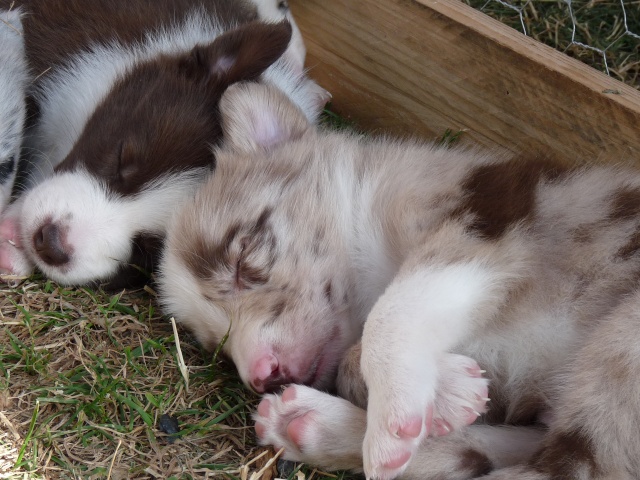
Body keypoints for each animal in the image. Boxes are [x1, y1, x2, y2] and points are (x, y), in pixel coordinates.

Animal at [160, 82, 640, 480]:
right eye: (216, 346)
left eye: (241, 259)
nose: (263, 376)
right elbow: (356, 353)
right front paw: (450, 390)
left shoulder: (483, 222)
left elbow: (389, 315)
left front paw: (403, 413)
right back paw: (311, 425)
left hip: (621, 341)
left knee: (570, 464)